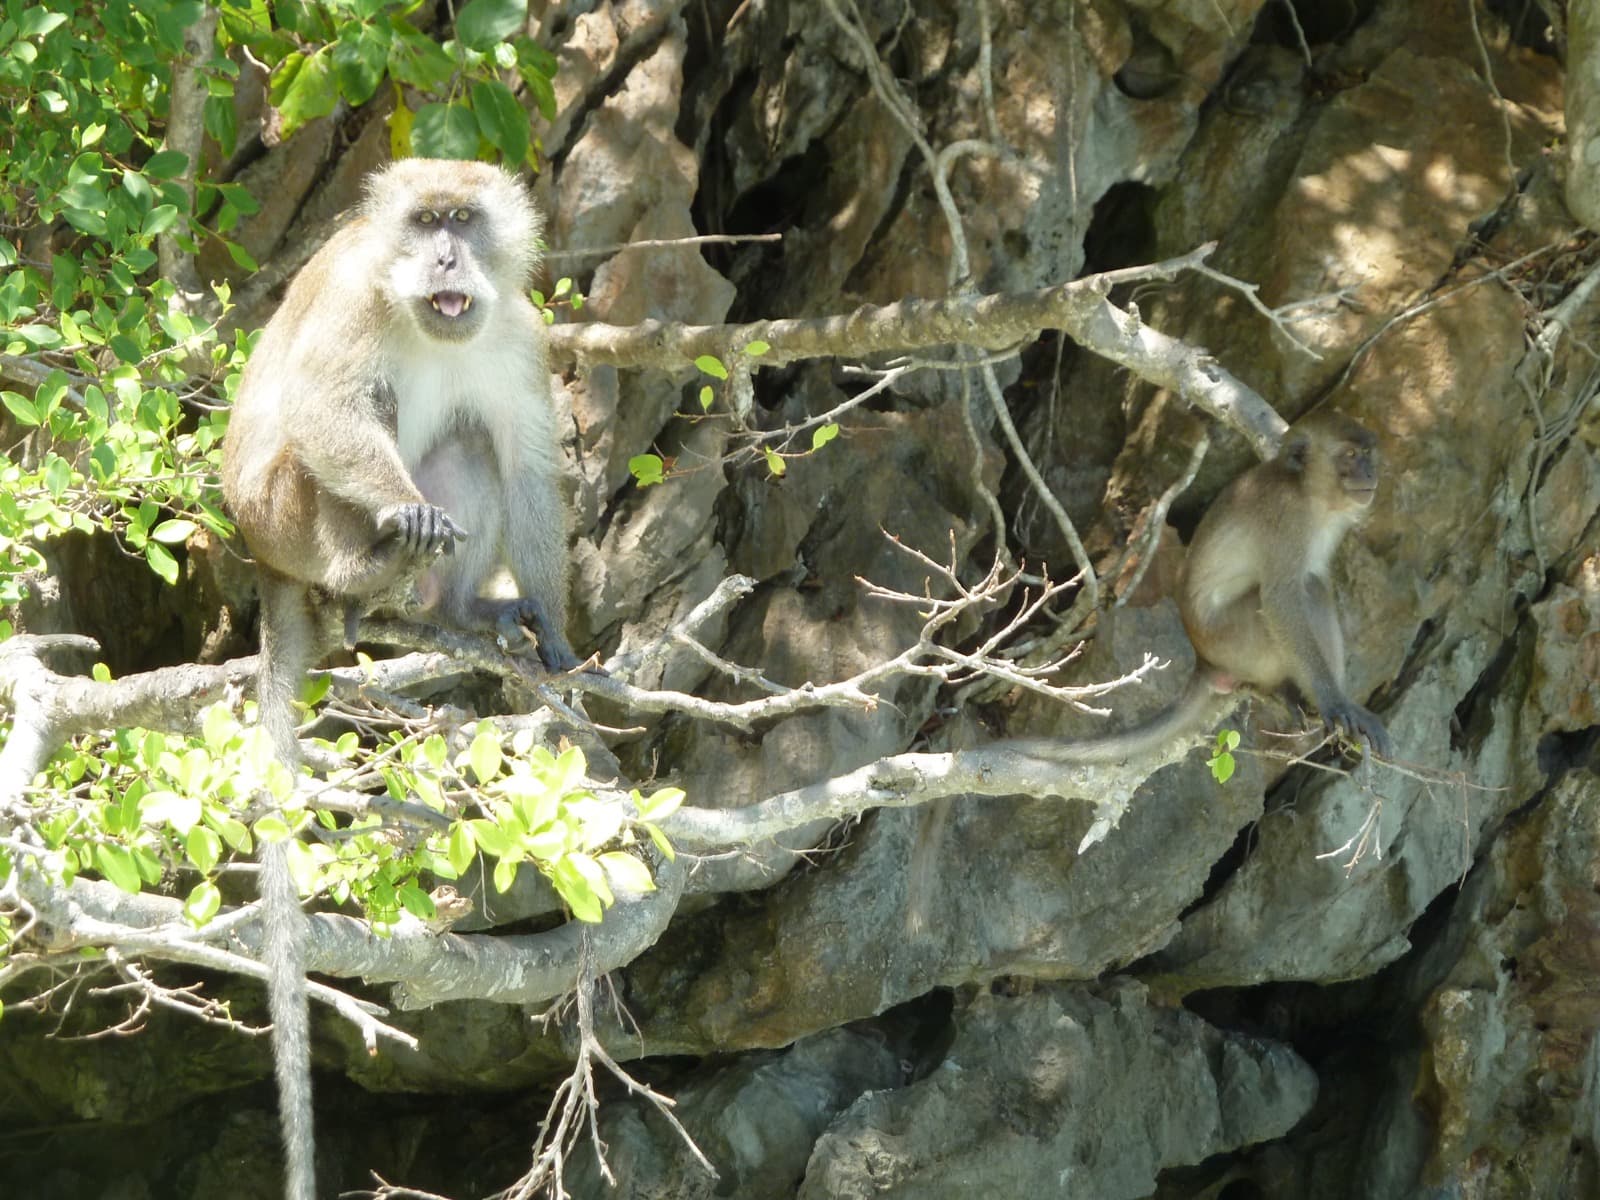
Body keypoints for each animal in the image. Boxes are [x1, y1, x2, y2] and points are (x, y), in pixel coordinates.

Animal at [220, 158, 581, 1200]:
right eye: (424, 223)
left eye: (462, 217)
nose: (449, 257)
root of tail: (263, 558)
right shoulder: (351, 299)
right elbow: (323, 407)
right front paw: (402, 514)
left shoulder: (517, 331)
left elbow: (529, 464)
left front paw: (558, 638)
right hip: (284, 516)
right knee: (345, 429)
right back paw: (369, 567)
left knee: (472, 441)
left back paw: (455, 614)